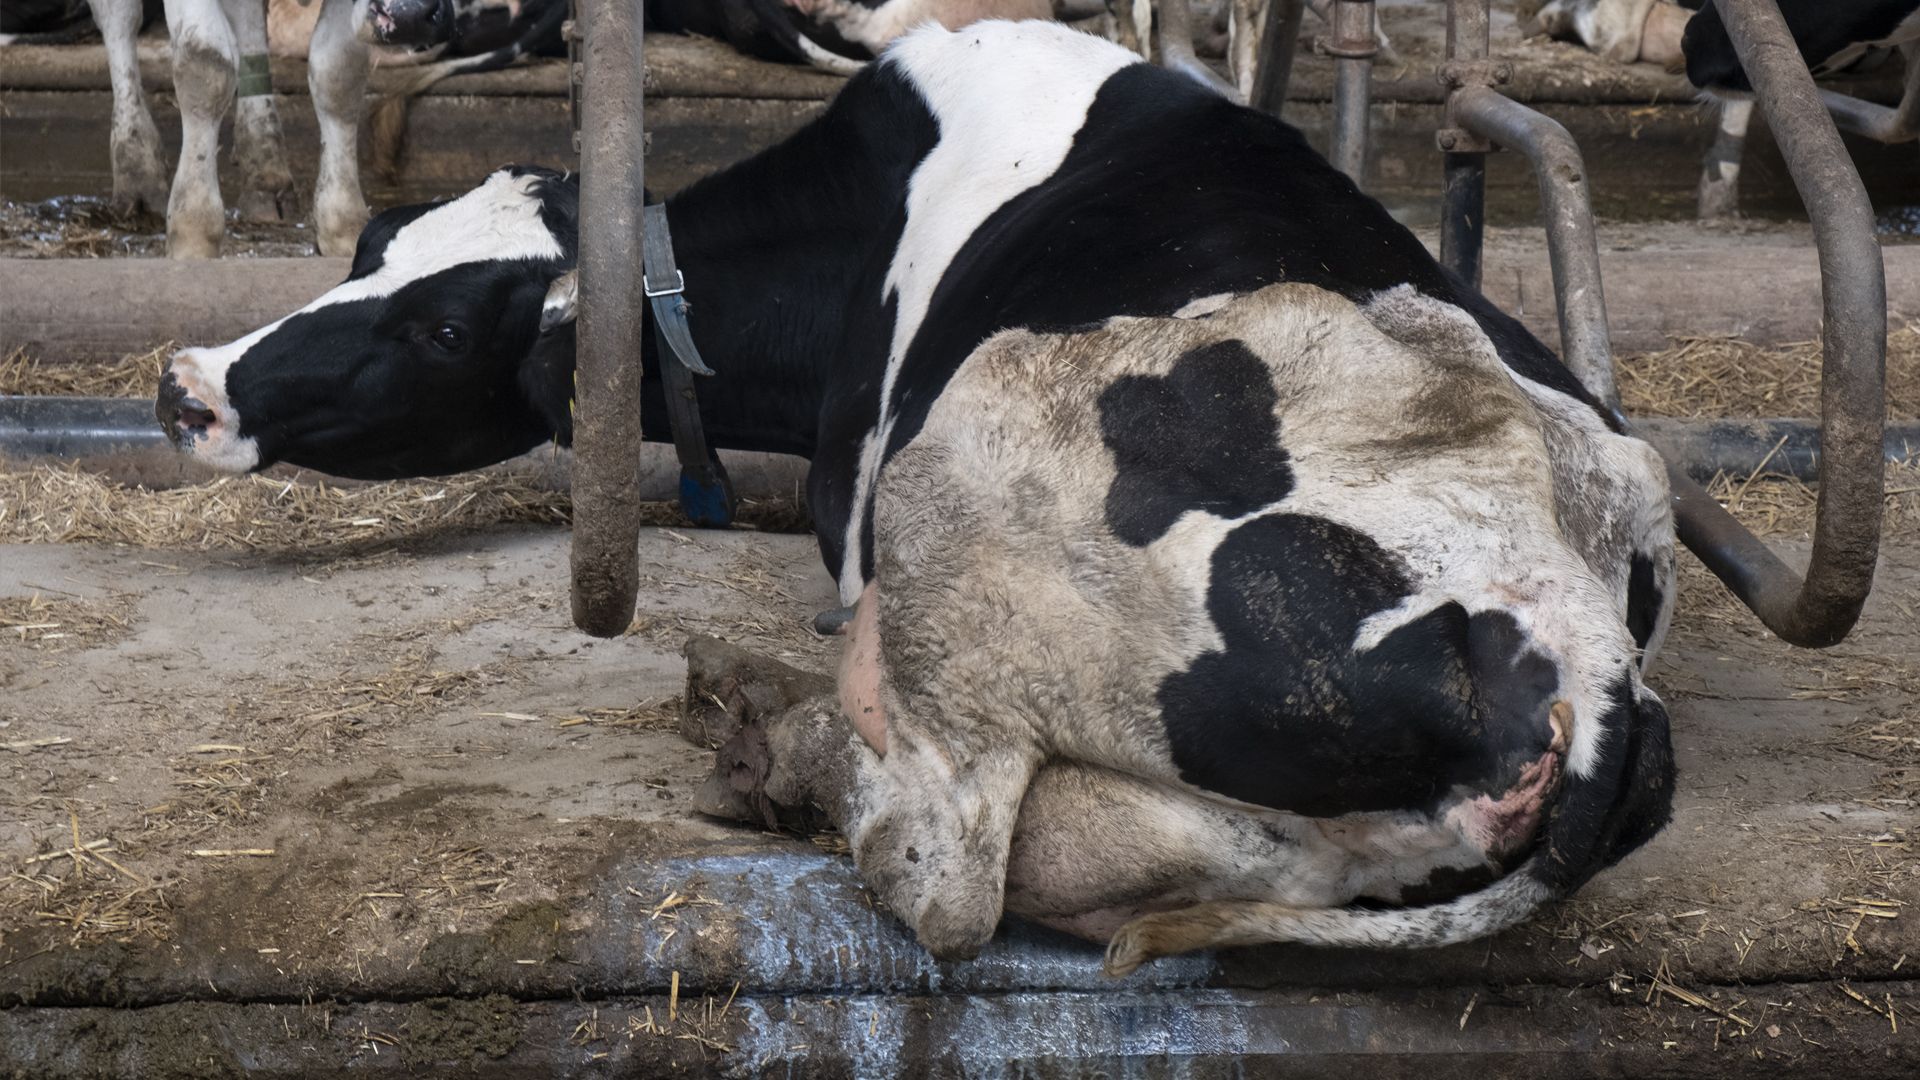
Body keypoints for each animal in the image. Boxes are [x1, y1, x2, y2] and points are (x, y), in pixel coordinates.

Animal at [153, 18, 1681, 968]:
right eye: (376, 240)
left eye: (443, 331)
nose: (187, 384)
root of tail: (1576, 672)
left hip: (971, 477)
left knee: (939, 872)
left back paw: (769, 741)